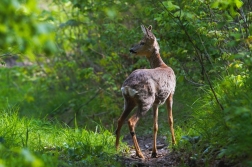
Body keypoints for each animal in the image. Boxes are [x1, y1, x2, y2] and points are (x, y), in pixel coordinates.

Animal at [115, 25, 176, 159]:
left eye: (142, 42)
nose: (131, 49)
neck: (162, 65)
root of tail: (127, 86)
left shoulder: (156, 102)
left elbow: (155, 126)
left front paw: (154, 152)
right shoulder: (171, 93)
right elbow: (170, 120)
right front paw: (175, 144)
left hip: (129, 101)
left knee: (120, 120)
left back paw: (115, 149)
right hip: (146, 100)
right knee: (131, 121)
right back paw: (140, 154)